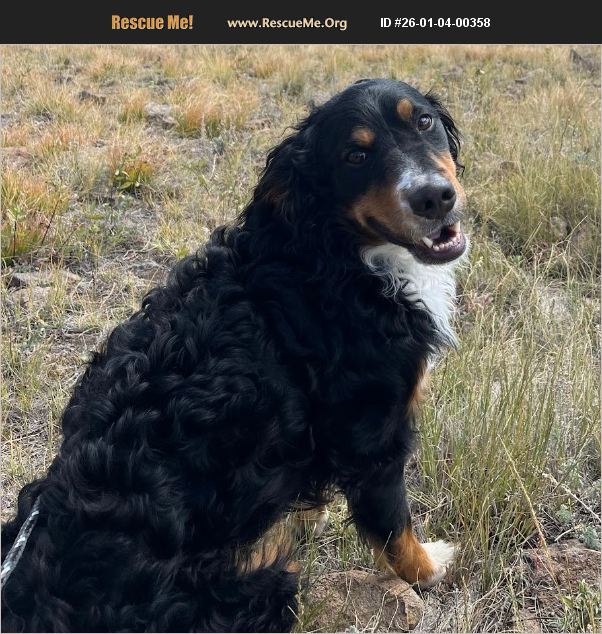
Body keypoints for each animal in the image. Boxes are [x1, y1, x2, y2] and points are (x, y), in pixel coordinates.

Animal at [1, 78, 468, 632]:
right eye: (355, 155)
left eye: (423, 121)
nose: (434, 197)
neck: (330, 261)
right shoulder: (374, 433)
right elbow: (394, 526)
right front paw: (429, 569)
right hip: (266, 585)